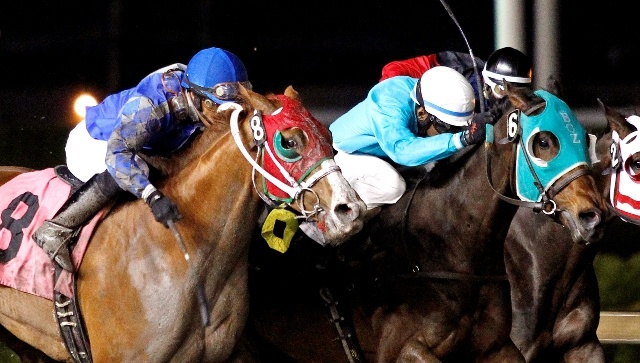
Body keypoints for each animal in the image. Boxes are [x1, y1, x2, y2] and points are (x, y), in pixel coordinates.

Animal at [244, 81, 604, 362]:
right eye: (544, 141)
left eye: (585, 138)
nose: (591, 216)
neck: (451, 249)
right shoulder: (402, 349)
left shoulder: (498, 347)